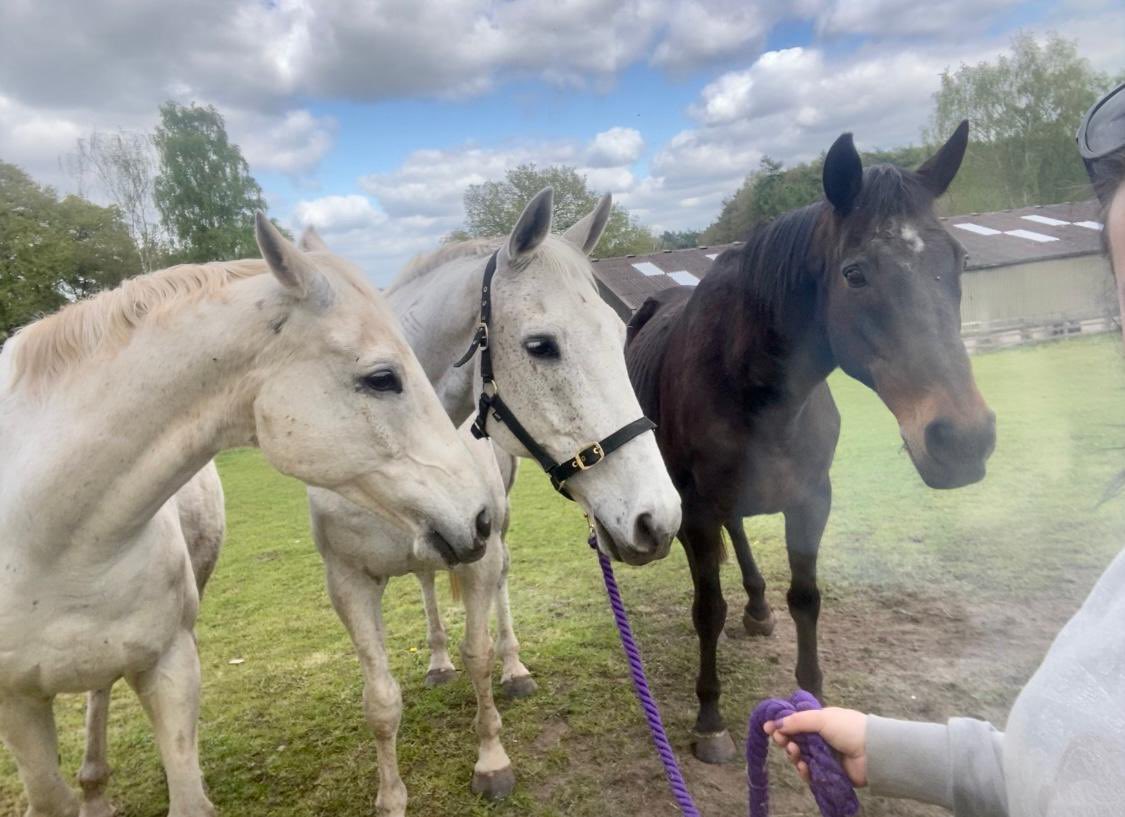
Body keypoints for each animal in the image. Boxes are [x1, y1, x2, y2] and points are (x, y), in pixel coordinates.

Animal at [0, 214, 492, 814]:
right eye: (382, 378)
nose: (481, 519)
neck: (45, 532)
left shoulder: (170, 667)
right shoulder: (17, 706)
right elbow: (48, 795)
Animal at [303, 189, 679, 817]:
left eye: (615, 333)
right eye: (541, 346)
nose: (659, 520)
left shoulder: (479, 555)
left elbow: (478, 655)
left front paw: (491, 760)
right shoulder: (347, 582)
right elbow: (379, 700)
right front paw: (390, 796)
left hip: (497, 533)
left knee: (501, 585)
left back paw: (514, 668)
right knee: (427, 582)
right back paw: (437, 662)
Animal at [630, 123, 999, 769]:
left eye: (959, 260)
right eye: (854, 273)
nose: (964, 439)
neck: (752, 387)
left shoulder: (810, 501)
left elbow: (806, 598)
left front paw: (815, 700)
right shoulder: (695, 512)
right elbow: (706, 610)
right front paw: (710, 720)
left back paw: (757, 608)